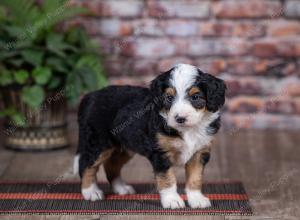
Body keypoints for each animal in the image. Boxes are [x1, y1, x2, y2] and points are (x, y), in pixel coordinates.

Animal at [74, 63, 226, 208]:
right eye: (169, 98)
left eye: (195, 97)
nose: (180, 118)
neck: (187, 130)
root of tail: (91, 95)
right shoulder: (161, 152)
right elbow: (167, 178)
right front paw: (172, 200)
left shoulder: (199, 152)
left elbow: (195, 178)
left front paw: (196, 199)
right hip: (98, 142)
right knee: (86, 164)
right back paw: (91, 192)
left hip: (125, 146)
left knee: (111, 165)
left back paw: (121, 188)